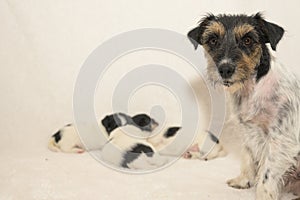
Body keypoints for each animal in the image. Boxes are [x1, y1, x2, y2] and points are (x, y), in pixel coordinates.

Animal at [189, 13, 298, 199]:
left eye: (248, 40)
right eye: (213, 40)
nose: (225, 69)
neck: (253, 89)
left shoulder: (280, 138)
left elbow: (267, 173)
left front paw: (264, 195)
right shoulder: (248, 130)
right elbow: (247, 156)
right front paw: (243, 181)